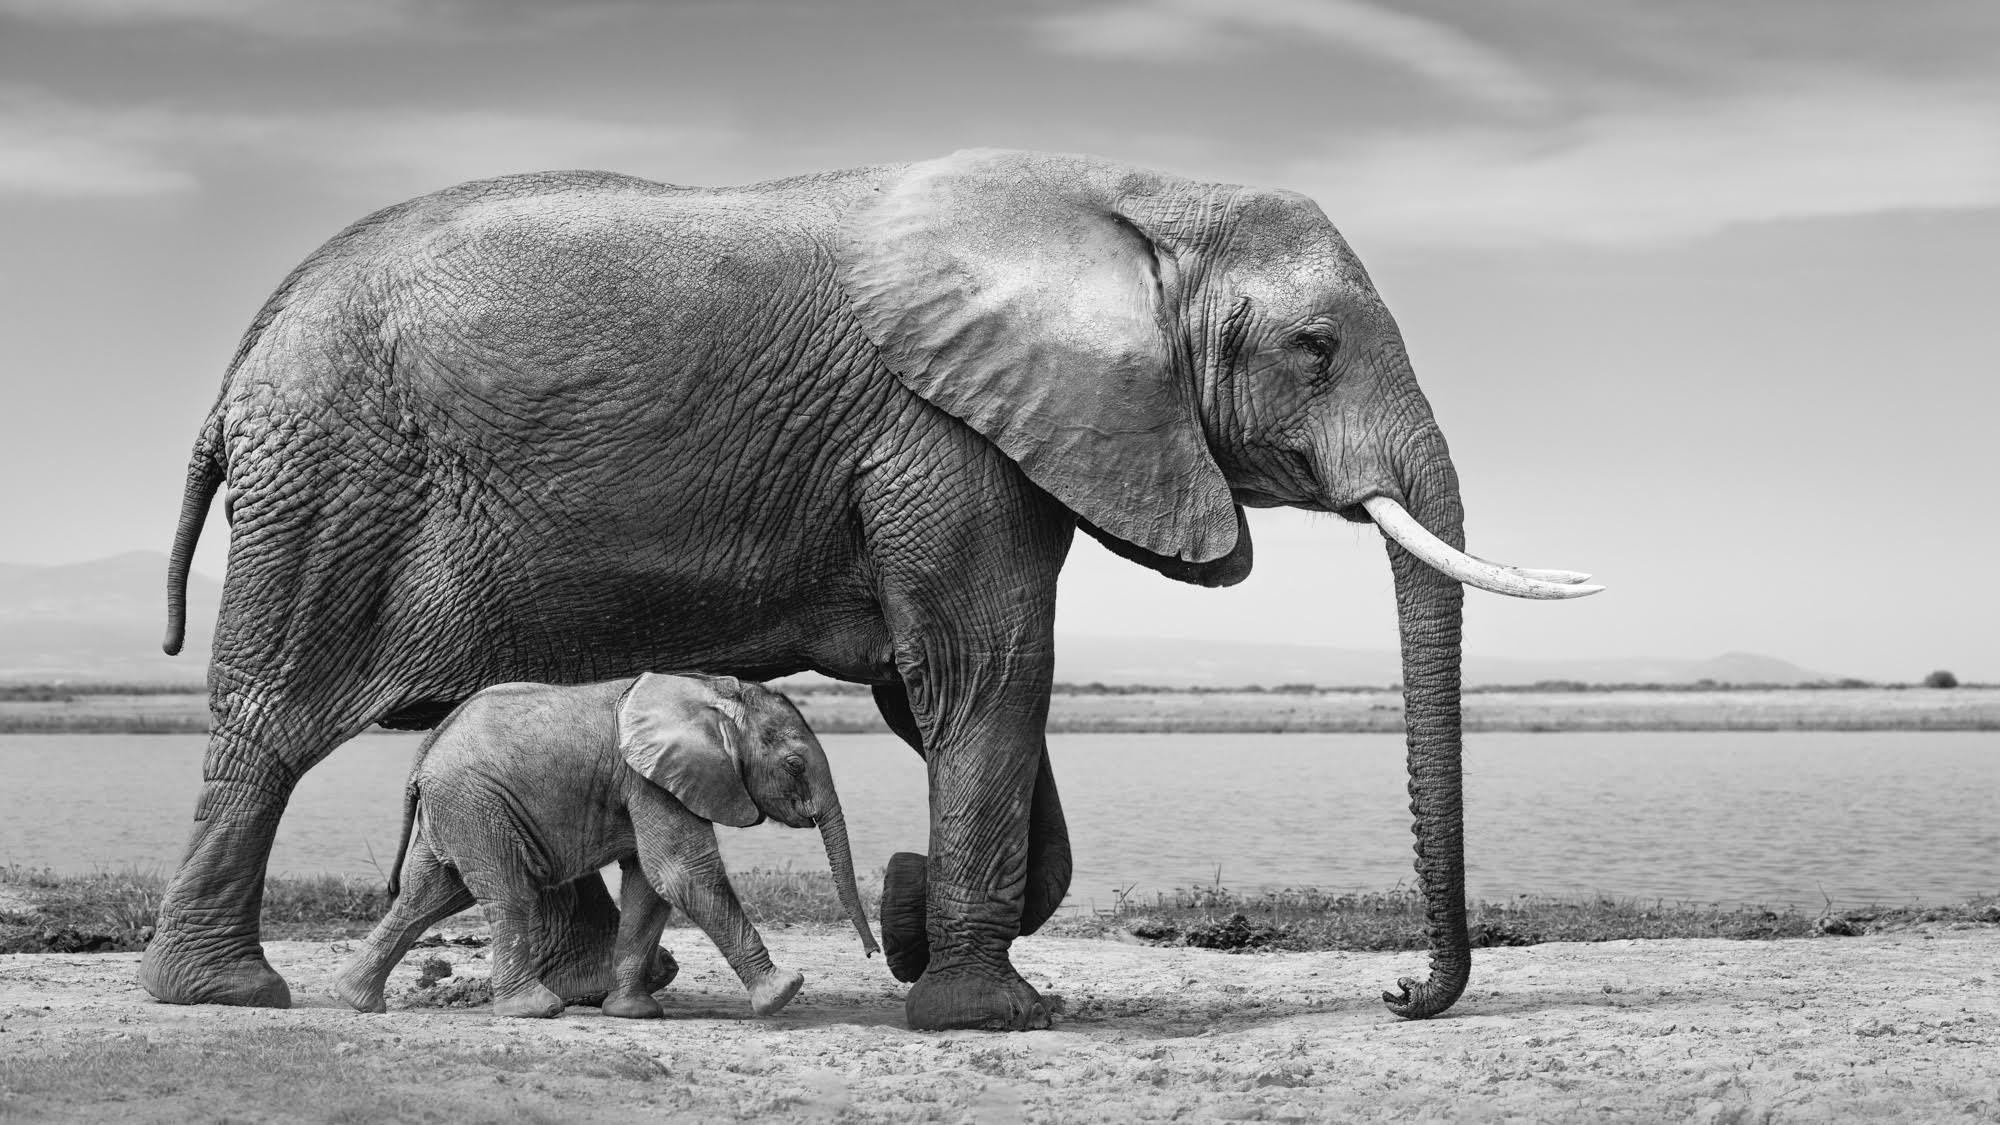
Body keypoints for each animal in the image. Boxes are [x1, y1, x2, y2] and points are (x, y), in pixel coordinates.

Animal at [332, 672, 877, 1019]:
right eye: (794, 765)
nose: (873, 953)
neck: (716, 692)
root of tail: (424, 753)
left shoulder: (650, 781)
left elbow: (649, 884)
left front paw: (632, 1013)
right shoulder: (649, 779)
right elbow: (681, 873)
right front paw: (784, 992)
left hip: (459, 810)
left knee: (429, 895)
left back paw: (357, 1000)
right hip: (477, 804)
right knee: (507, 895)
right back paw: (534, 1010)